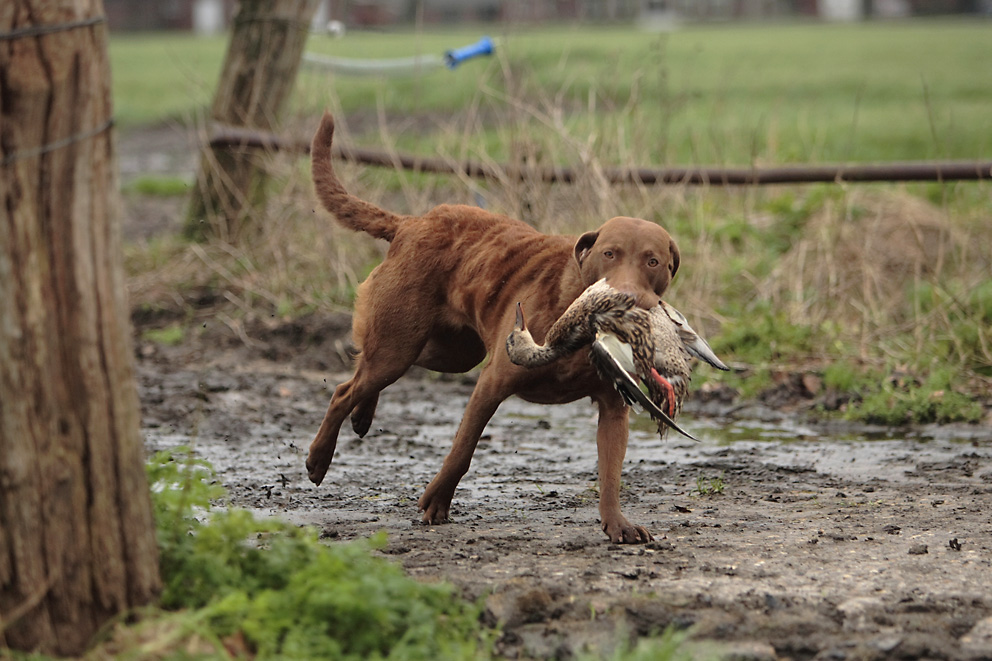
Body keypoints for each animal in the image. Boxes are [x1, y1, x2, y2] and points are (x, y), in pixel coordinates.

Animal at [308, 111, 680, 540]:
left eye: (652, 261)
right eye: (609, 254)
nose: (627, 297)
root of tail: (411, 223)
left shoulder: (613, 407)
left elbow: (611, 472)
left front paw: (617, 524)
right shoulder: (492, 383)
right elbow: (463, 448)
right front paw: (437, 500)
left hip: (447, 352)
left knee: (365, 374)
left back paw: (362, 414)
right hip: (401, 345)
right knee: (346, 388)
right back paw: (319, 458)